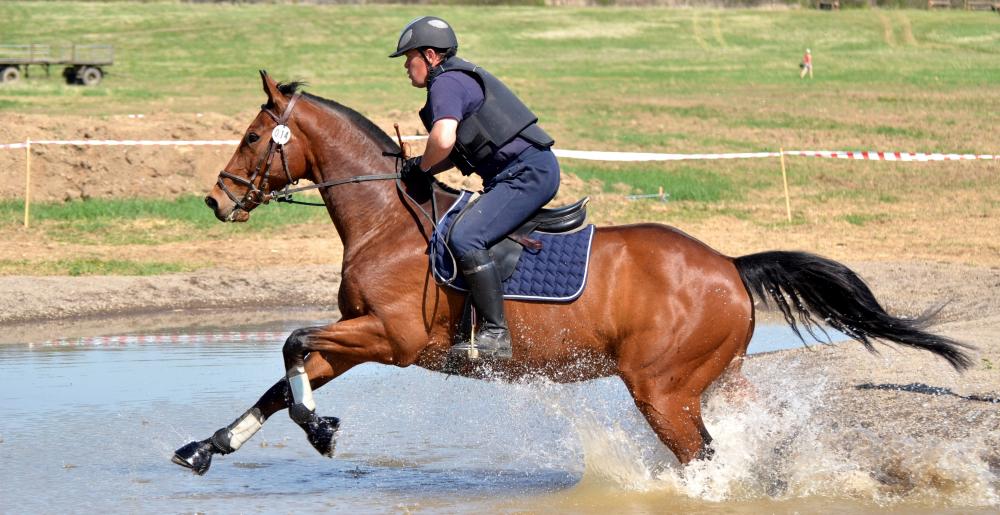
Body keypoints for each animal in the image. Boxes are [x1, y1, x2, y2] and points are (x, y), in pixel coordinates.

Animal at [170, 72, 968, 476]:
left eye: (252, 137)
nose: (217, 199)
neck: (385, 220)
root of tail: (730, 267)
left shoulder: (389, 338)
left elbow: (291, 347)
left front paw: (322, 431)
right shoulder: (356, 337)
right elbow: (283, 379)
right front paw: (208, 447)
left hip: (662, 390)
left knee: (702, 456)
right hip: (718, 377)